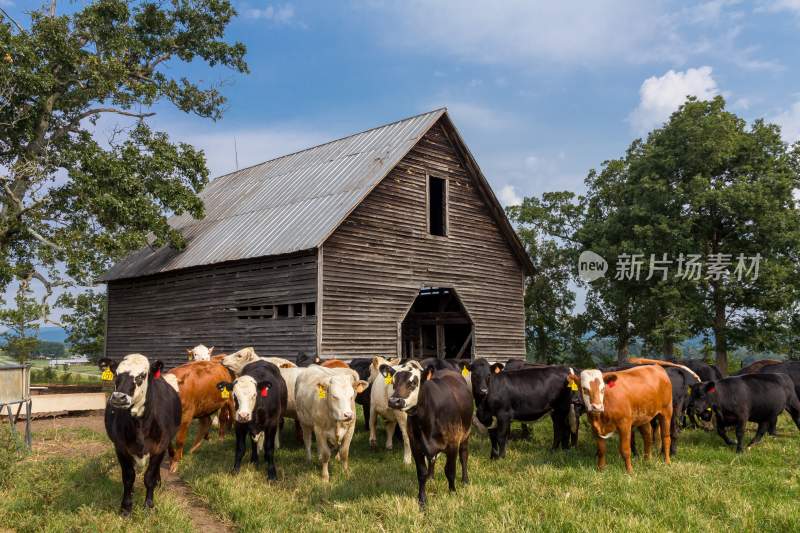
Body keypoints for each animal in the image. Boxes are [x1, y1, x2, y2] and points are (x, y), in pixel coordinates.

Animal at [99, 354, 181, 516]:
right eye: (116, 373)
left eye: (142, 376)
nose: (118, 398)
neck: (140, 425)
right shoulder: (121, 447)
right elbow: (128, 477)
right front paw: (126, 507)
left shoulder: (159, 447)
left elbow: (149, 477)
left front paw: (149, 505)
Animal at [384, 364, 472, 510]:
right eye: (393, 382)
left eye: (413, 383)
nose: (394, 401)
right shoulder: (415, 445)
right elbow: (421, 473)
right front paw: (422, 500)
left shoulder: (453, 443)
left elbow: (450, 470)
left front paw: (452, 492)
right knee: (433, 459)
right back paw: (431, 477)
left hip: (465, 434)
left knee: (463, 456)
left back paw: (465, 480)